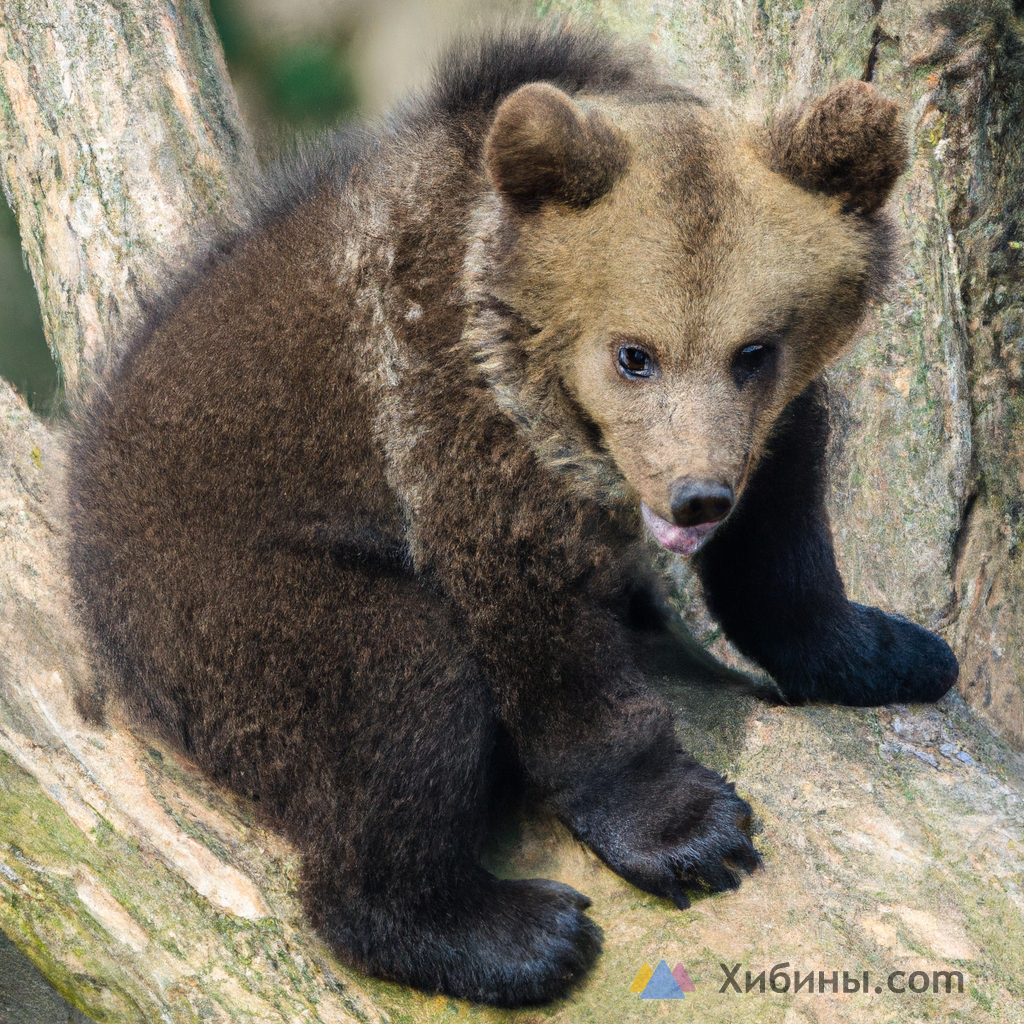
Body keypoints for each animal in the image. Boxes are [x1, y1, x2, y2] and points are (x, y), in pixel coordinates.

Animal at [68, 22, 954, 1007]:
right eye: (634, 353)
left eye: (753, 349)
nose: (695, 494)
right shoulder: (453, 418)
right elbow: (539, 628)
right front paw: (688, 831)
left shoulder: (768, 426)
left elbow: (781, 545)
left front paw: (889, 651)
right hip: (215, 592)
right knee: (395, 681)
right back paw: (511, 931)